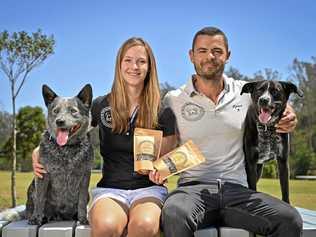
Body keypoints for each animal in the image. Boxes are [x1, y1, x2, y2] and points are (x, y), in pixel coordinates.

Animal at [26, 84, 93, 225]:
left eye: (73, 111)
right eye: (55, 111)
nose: (60, 121)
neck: (66, 149)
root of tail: (60, 216)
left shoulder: (84, 175)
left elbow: (82, 200)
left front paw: (83, 218)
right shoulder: (43, 174)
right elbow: (40, 198)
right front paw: (36, 218)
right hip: (32, 188)